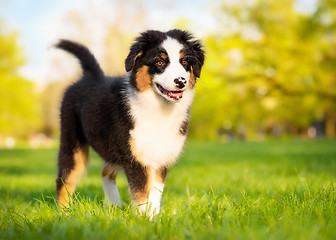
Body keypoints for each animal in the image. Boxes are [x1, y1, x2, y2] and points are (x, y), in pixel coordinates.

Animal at [55, 29, 205, 217]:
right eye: (160, 61)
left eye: (184, 62)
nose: (180, 81)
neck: (160, 109)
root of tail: (90, 76)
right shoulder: (135, 158)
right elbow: (141, 192)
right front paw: (144, 219)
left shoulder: (161, 157)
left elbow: (156, 191)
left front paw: (155, 217)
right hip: (71, 141)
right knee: (65, 178)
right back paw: (64, 213)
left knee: (105, 171)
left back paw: (113, 205)